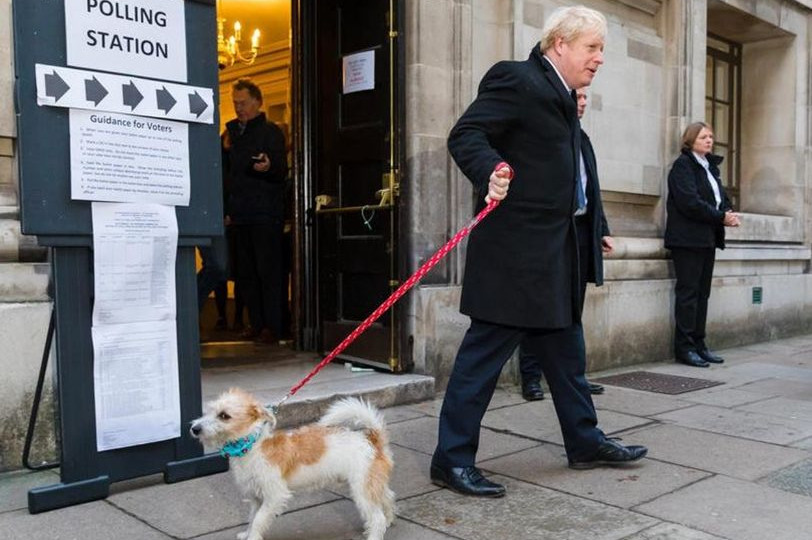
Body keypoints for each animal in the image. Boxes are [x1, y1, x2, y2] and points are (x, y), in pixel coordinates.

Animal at [190, 388, 394, 540]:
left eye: (224, 415)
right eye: (209, 411)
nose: (194, 428)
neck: (253, 445)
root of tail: (372, 438)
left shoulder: (274, 496)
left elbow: (259, 519)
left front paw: (253, 536)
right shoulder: (256, 498)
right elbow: (251, 517)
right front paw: (247, 534)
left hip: (362, 490)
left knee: (377, 517)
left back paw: (376, 533)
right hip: (372, 484)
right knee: (388, 498)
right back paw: (389, 520)